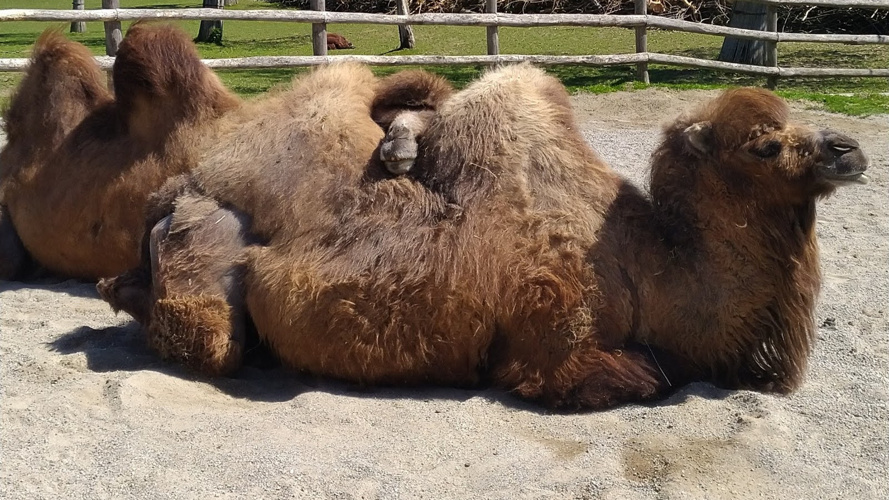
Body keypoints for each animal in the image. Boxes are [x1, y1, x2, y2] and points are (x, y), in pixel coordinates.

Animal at [100, 62, 869, 410]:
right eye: (764, 145)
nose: (848, 150)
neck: (646, 266)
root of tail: (178, 191)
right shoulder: (550, 345)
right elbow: (643, 374)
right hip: (207, 279)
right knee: (208, 340)